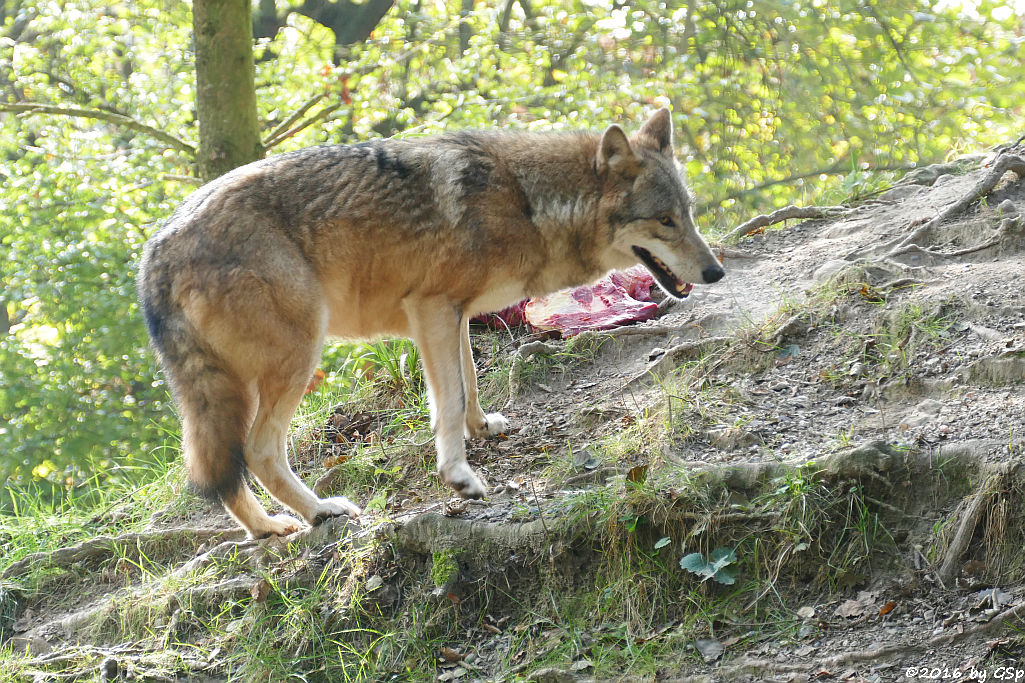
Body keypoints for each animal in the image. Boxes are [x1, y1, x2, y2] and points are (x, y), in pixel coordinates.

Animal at [138, 107, 721, 537]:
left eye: (689, 213)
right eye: (664, 221)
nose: (715, 271)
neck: (529, 202)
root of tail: (153, 253)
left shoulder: (451, 314)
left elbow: (469, 385)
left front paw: (483, 429)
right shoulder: (434, 308)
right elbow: (451, 400)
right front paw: (460, 477)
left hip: (229, 389)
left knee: (223, 468)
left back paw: (268, 528)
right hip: (298, 356)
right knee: (257, 452)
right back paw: (321, 512)